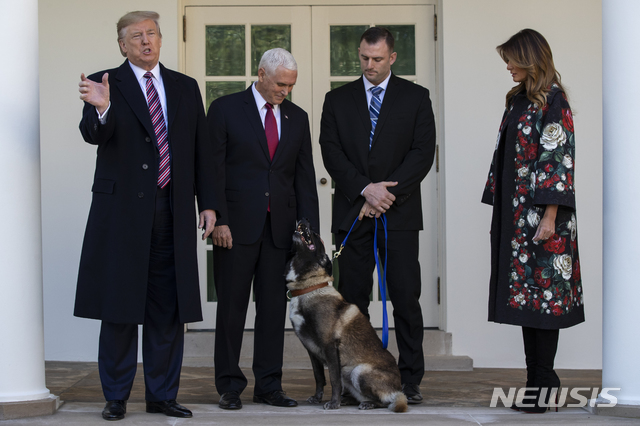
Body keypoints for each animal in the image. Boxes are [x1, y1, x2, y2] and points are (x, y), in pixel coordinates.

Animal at [286, 218, 408, 412]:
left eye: (316, 235)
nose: (304, 219)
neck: (309, 287)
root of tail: (398, 390)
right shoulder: (311, 351)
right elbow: (318, 377)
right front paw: (317, 397)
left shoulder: (329, 346)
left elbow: (334, 379)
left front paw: (333, 403)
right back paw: (350, 400)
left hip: (359, 371)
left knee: (384, 401)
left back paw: (366, 404)